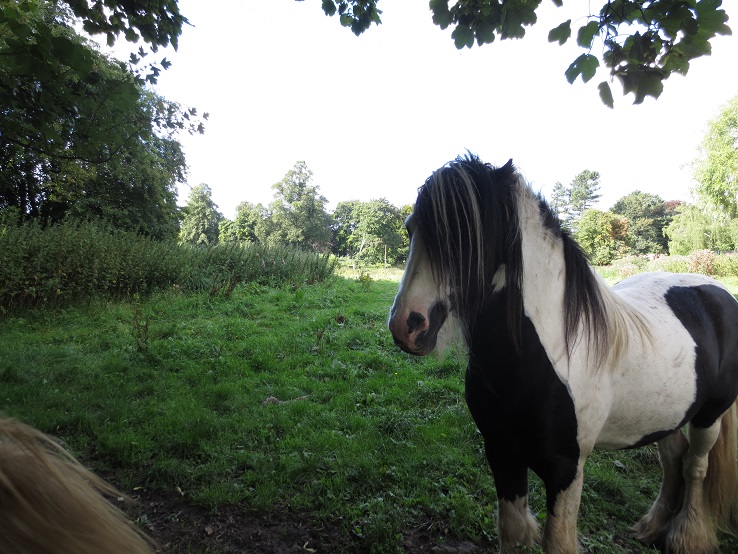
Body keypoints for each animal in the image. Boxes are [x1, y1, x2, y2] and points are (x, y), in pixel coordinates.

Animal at [388, 154, 738, 553]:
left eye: (466, 234)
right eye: (411, 229)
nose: (406, 325)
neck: (540, 357)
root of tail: (716, 291)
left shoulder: (566, 468)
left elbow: (557, 541)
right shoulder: (501, 451)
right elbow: (512, 530)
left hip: (709, 415)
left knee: (695, 467)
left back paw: (685, 536)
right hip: (669, 415)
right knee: (673, 460)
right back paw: (652, 526)